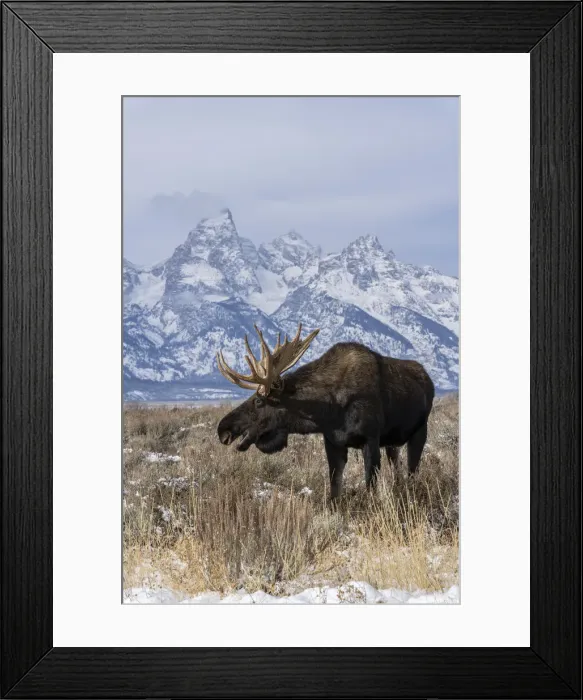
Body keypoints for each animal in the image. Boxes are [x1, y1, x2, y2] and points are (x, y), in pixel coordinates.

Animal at [216, 324, 434, 500]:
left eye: (258, 400)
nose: (222, 429)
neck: (327, 411)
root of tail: (429, 379)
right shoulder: (333, 442)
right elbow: (335, 490)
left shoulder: (370, 439)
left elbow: (370, 487)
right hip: (391, 442)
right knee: (397, 468)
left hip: (419, 431)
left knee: (412, 471)